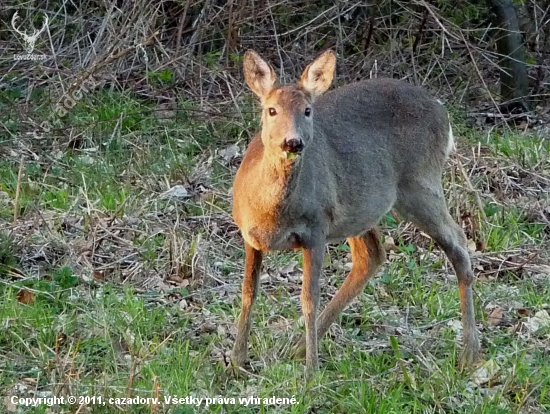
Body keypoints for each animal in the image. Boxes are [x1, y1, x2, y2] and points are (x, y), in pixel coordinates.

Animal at [231, 50, 480, 376]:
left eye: (307, 111)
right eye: (271, 110)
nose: (293, 142)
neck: (272, 213)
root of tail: (442, 111)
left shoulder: (316, 229)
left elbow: (308, 298)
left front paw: (311, 373)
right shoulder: (249, 235)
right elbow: (248, 293)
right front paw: (236, 360)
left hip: (420, 184)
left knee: (458, 242)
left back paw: (469, 353)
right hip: (361, 209)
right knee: (372, 255)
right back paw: (295, 347)